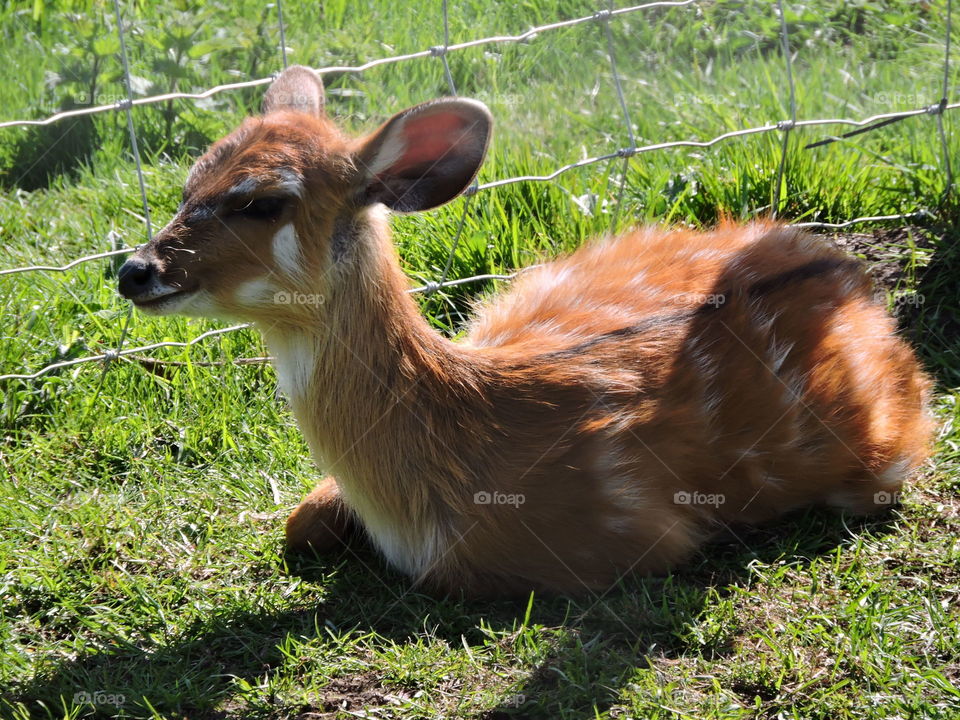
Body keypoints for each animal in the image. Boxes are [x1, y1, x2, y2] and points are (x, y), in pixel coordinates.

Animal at [117, 65, 933, 596]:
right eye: (189, 181)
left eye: (263, 201)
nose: (134, 270)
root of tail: (846, 267)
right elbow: (299, 519)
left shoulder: (623, 546)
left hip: (885, 453)